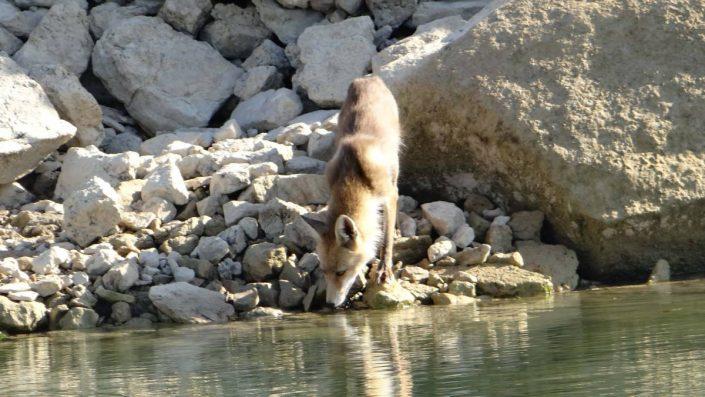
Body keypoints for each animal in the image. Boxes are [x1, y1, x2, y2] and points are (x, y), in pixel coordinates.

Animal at [304, 76, 398, 308]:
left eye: (341, 272)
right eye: (324, 271)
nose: (330, 304)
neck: (355, 178)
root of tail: (368, 78)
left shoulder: (390, 195)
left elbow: (387, 240)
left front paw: (384, 269)